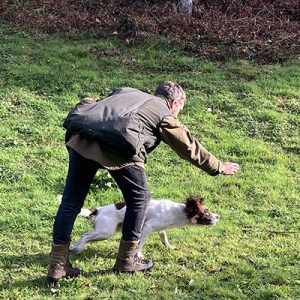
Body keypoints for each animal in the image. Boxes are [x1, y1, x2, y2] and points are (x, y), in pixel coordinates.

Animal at [69, 195, 220, 258]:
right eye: (206, 213)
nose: (218, 216)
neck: (178, 212)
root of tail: (98, 210)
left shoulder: (160, 229)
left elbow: (164, 238)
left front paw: (170, 247)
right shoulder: (147, 227)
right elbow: (140, 243)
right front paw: (139, 254)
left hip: (104, 232)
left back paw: (73, 248)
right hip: (105, 232)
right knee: (85, 235)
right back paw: (78, 248)